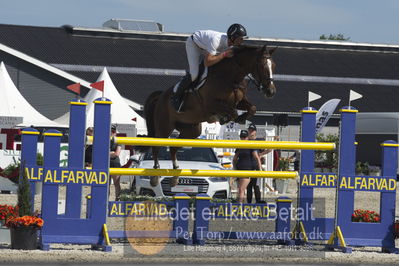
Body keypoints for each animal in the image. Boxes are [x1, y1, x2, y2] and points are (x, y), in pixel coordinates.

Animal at [144, 44, 278, 187]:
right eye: (262, 65)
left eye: (274, 65)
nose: (271, 91)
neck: (231, 76)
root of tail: (161, 95)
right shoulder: (210, 104)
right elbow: (233, 112)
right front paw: (227, 118)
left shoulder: (239, 101)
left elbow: (251, 108)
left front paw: (240, 118)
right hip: (164, 127)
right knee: (156, 146)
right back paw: (155, 176)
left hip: (191, 130)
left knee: (174, 148)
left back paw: (175, 176)